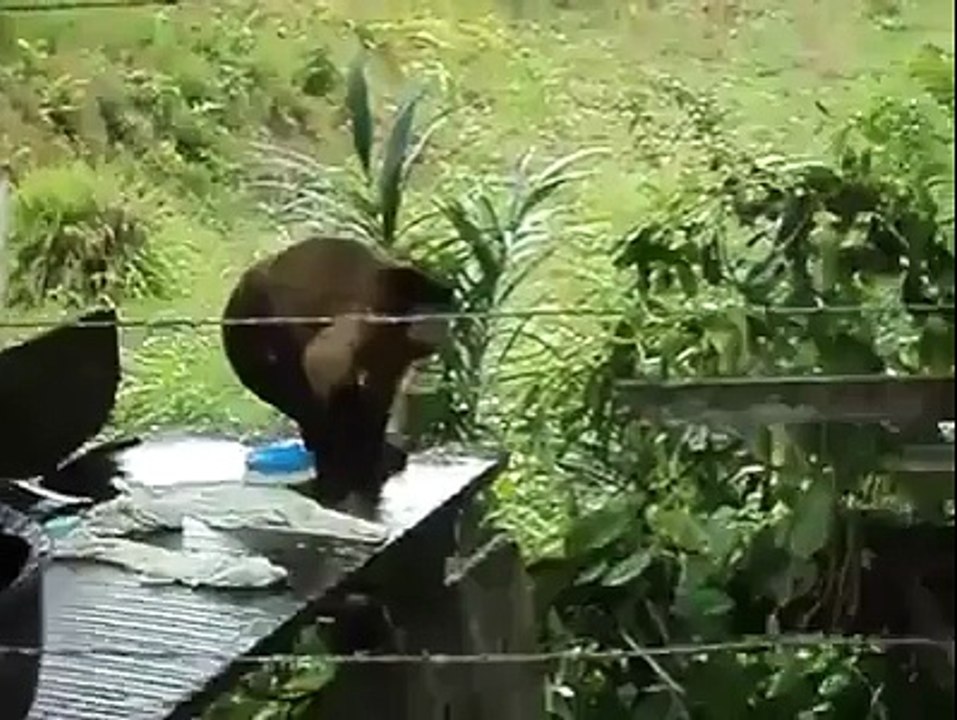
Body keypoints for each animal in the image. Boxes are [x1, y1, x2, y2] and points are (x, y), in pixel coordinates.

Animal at [221, 236, 454, 502]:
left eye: (441, 315)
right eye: (428, 314)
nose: (439, 327)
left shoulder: (396, 347)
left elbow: (380, 391)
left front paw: (371, 452)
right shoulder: (369, 315)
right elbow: (322, 361)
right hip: (249, 325)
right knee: (303, 393)